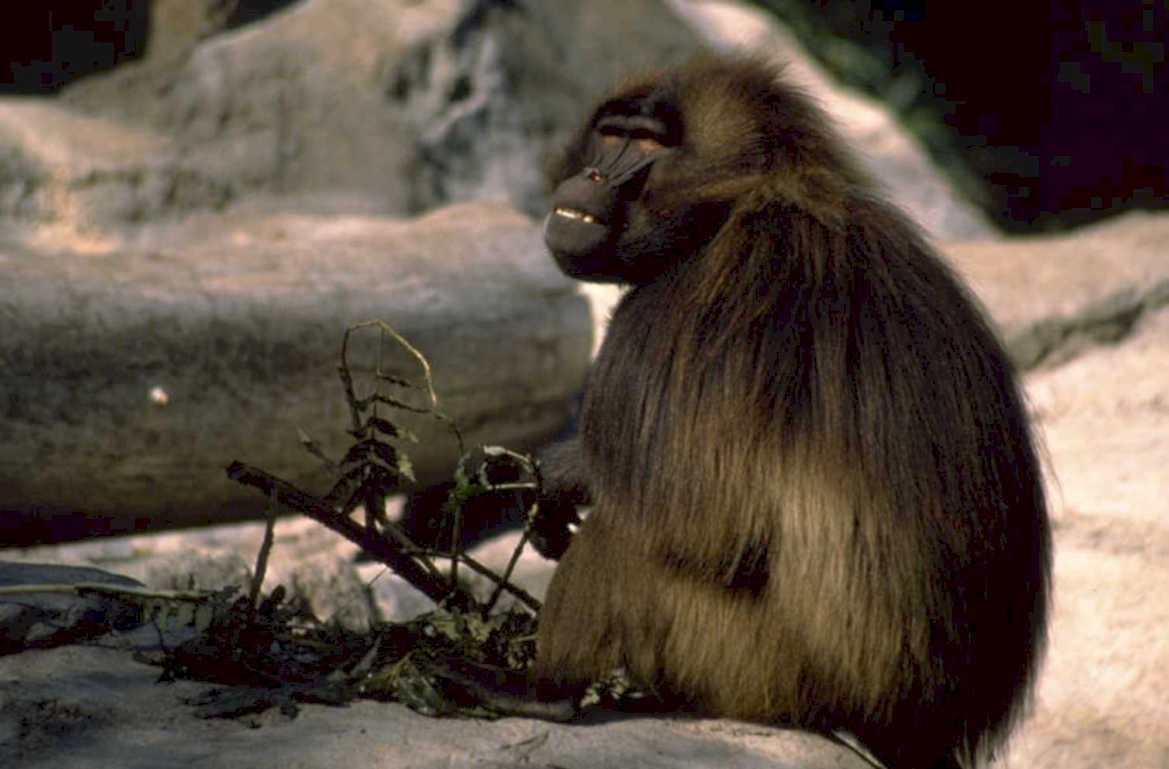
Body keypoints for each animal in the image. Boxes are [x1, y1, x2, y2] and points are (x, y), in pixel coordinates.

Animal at [529, 57, 1051, 769]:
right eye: (611, 134)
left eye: (646, 146)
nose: (592, 178)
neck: (736, 202)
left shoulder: (684, 305)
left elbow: (706, 514)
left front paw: (560, 474)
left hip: (762, 672)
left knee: (632, 530)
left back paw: (535, 693)